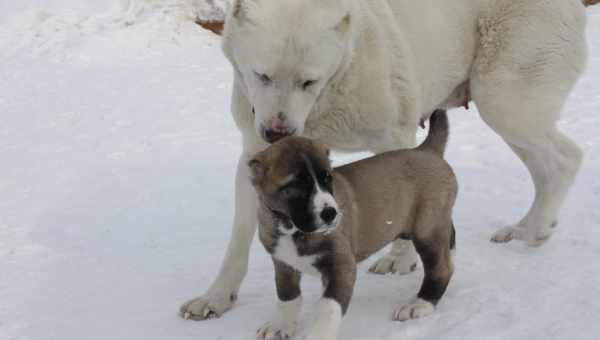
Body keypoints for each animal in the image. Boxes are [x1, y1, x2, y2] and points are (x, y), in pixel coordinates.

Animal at [248, 110, 454, 338]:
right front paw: (281, 325)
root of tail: (427, 150)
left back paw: (419, 305)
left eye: (327, 178)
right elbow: (287, 297)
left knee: (442, 268)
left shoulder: (341, 264)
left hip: (427, 229)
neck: (291, 228)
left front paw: (317, 335)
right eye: (294, 186)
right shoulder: (283, 263)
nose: (330, 213)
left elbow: (327, 308)